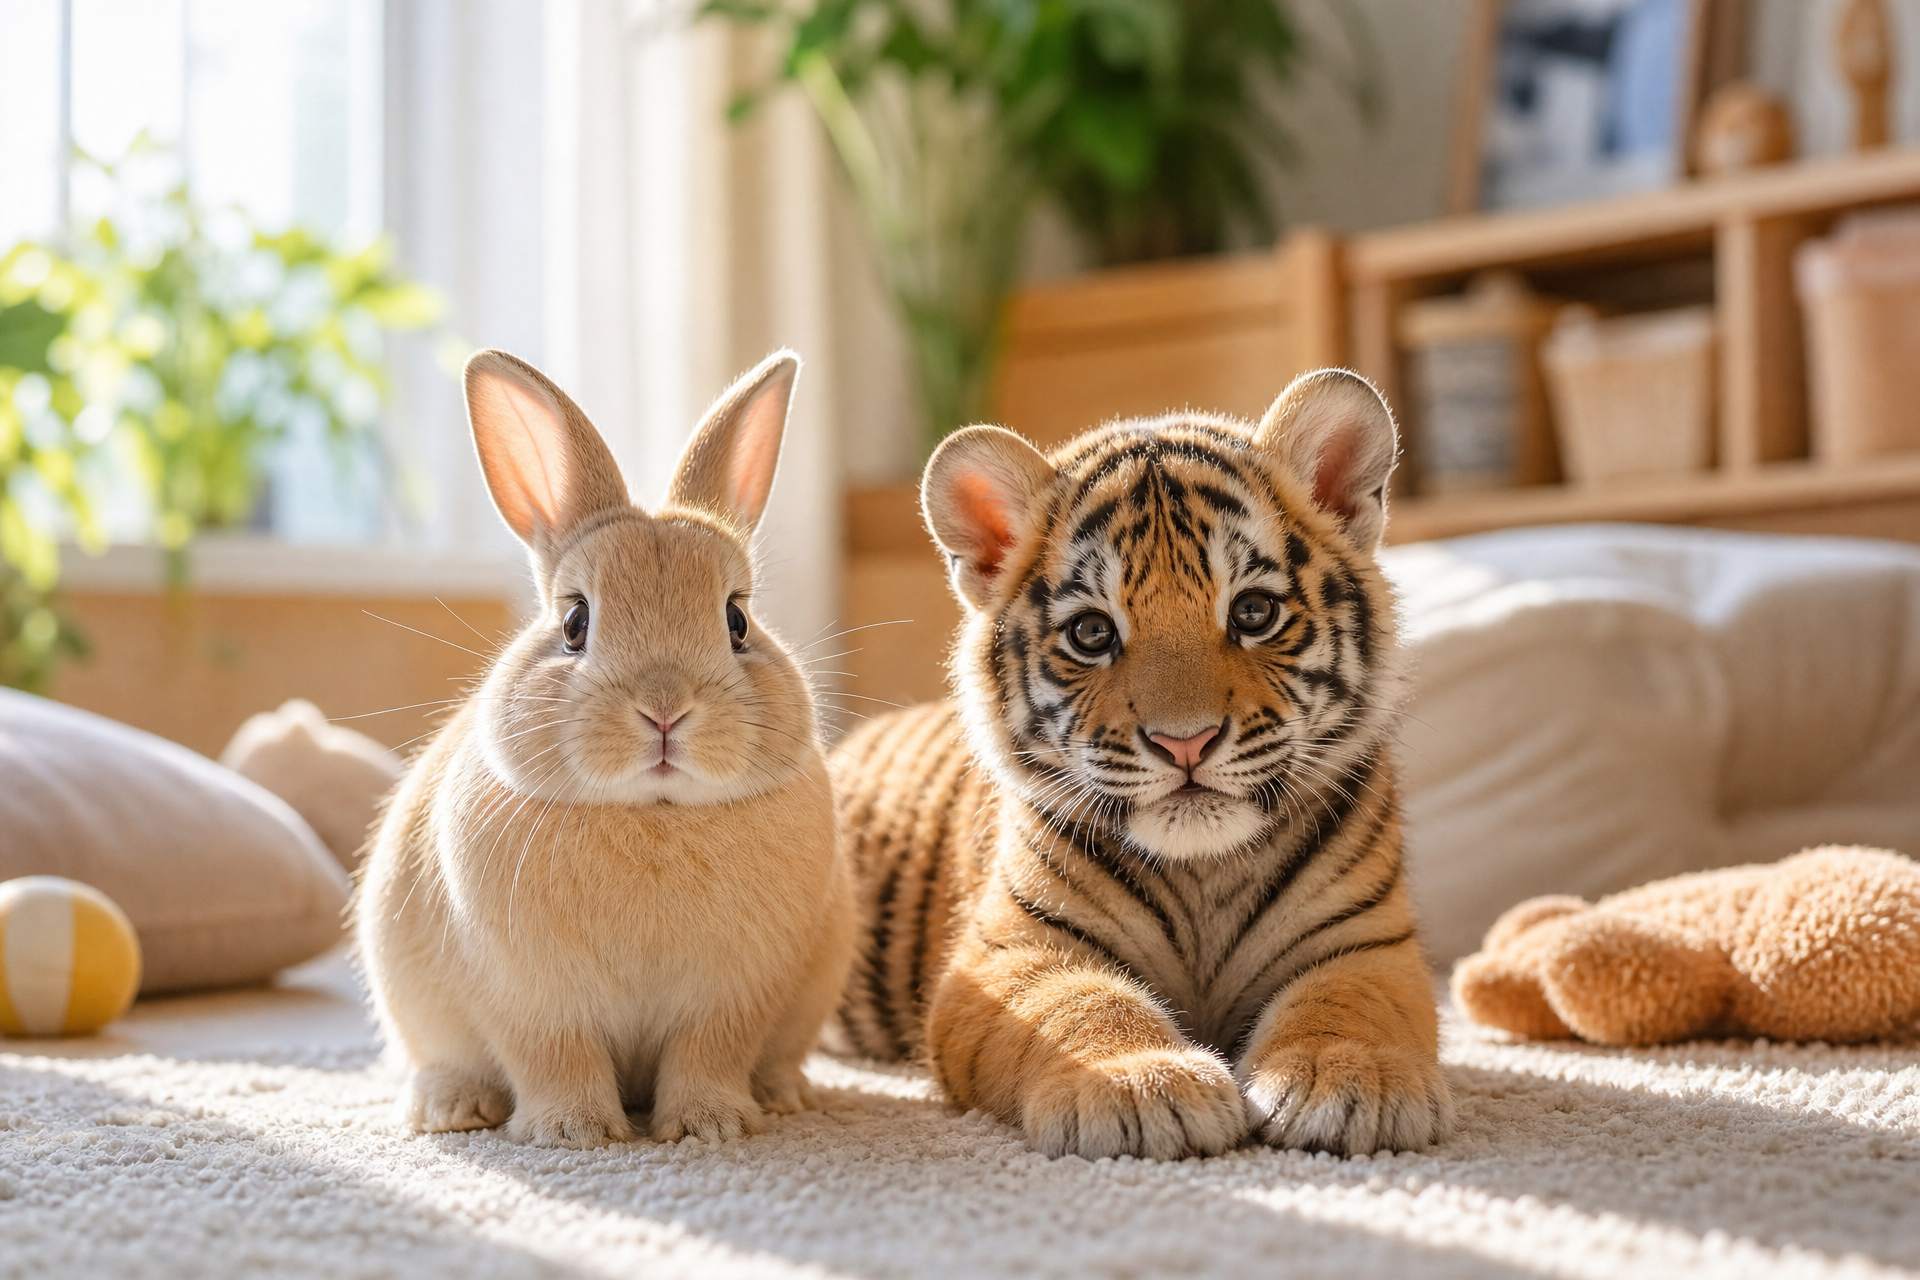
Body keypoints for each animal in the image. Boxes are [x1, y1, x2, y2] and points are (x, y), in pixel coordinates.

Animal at [828, 369, 1450, 1160]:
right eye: (1092, 633)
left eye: (1253, 613)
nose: (1185, 742)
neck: (1204, 874)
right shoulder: (1009, 955)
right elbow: (1078, 1005)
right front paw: (1143, 1085)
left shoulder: (1367, 942)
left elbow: (1349, 1002)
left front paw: (1349, 1079)